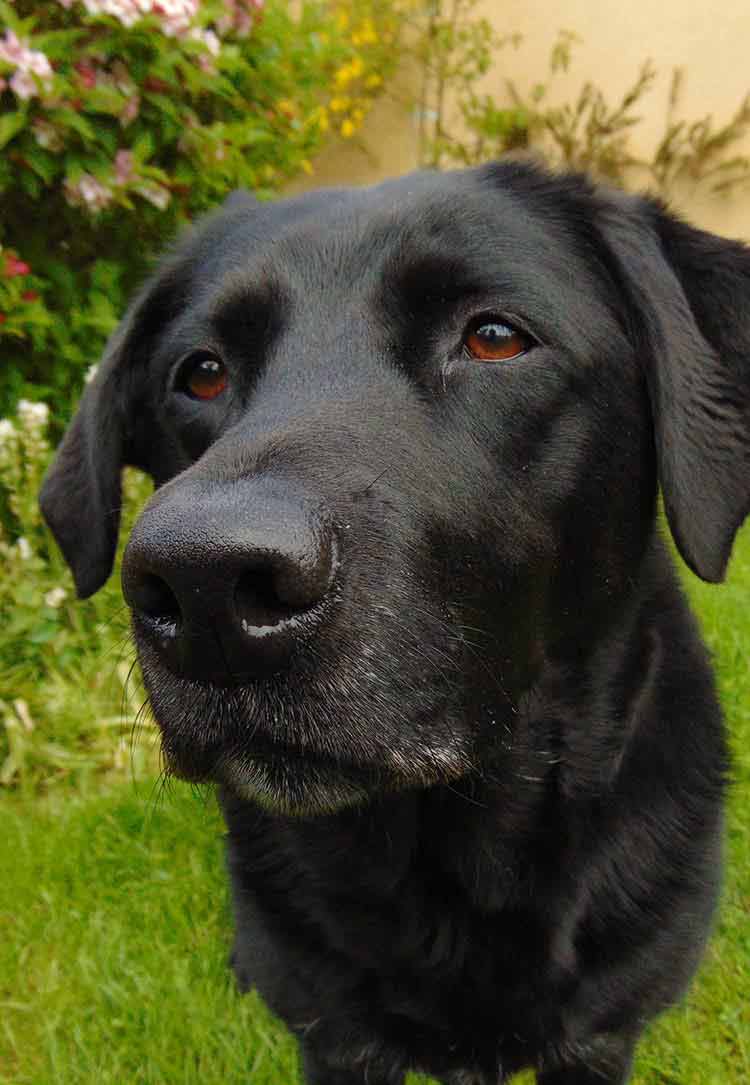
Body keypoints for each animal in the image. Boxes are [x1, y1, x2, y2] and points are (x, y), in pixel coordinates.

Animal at [42, 162, 750, 1085]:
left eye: (494, 337)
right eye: (199, 373)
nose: (207, 584)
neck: (454, 861)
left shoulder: (602, 1036)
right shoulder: (337, 1038)